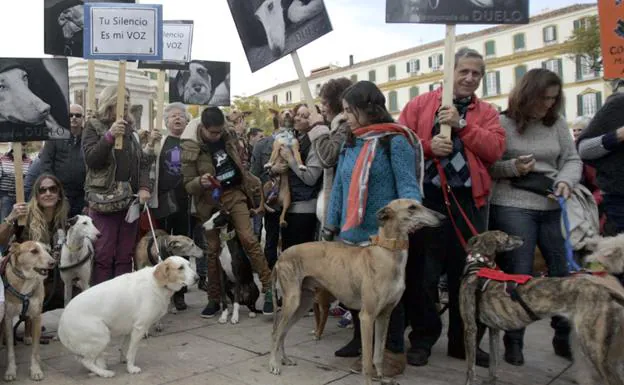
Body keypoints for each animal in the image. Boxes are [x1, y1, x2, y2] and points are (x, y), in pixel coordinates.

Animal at [58, 255, 197, 376]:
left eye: (189, 265)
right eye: (180, 268)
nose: (198, 278)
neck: (157, 283)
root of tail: (61, 324)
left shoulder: (129, 330)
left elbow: (124, 348)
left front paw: (124, 360)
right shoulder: (139, 329)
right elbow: (132, 352)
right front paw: (131, 369)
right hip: (102, 335)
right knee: (86, 361)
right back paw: (104, 373)